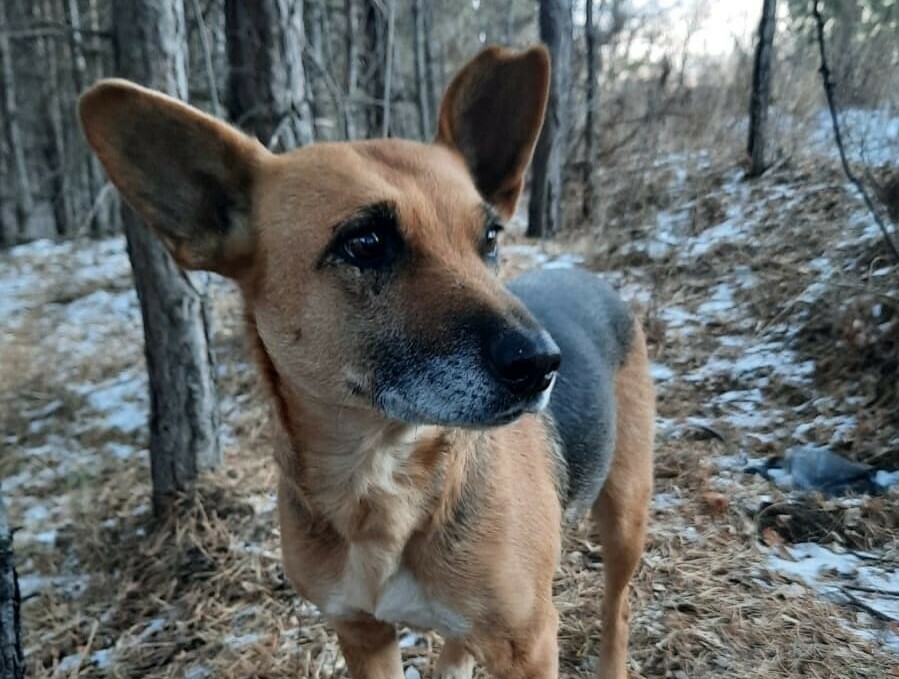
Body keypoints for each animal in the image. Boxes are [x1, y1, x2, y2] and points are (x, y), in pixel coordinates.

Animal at [79, 45, 652, 676]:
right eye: (365, 243)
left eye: (491, 238)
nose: (542, 364)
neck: (380, 484)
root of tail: (588, 277)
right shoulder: (360, 633)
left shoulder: (528, 644)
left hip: (625, 515)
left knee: (619, 605)